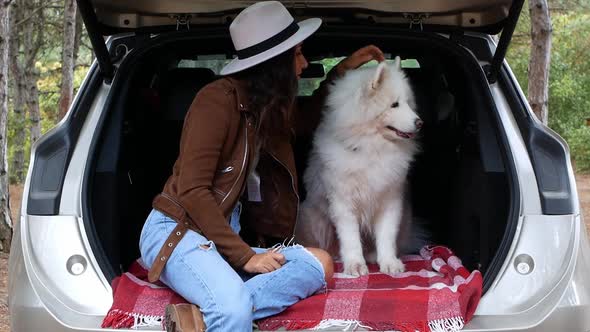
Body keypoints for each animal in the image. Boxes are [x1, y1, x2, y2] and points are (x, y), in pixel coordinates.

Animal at [298, 58, 424, 276]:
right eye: (394, 104)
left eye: (408, 103)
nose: (420, 122)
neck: (371, 149)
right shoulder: (344, 205)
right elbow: (351, 240)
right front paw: (355, 265)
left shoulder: (390, 202)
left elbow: (386, 236)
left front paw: (389, 263)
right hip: (313, 218)